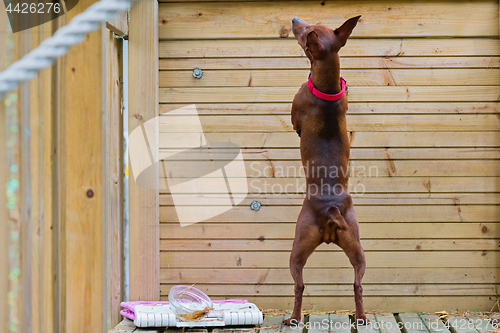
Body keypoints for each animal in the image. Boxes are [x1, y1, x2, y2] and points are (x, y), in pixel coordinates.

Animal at [284, 15, 370, 324]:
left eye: (305, 31)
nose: (294, 19)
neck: (328, 89)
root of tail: (331, 210)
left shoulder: (295, 116)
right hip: (357, 248)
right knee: (358, 284)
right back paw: (362, 316)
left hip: (297, 248)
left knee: (299, 285)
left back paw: (293, 318)